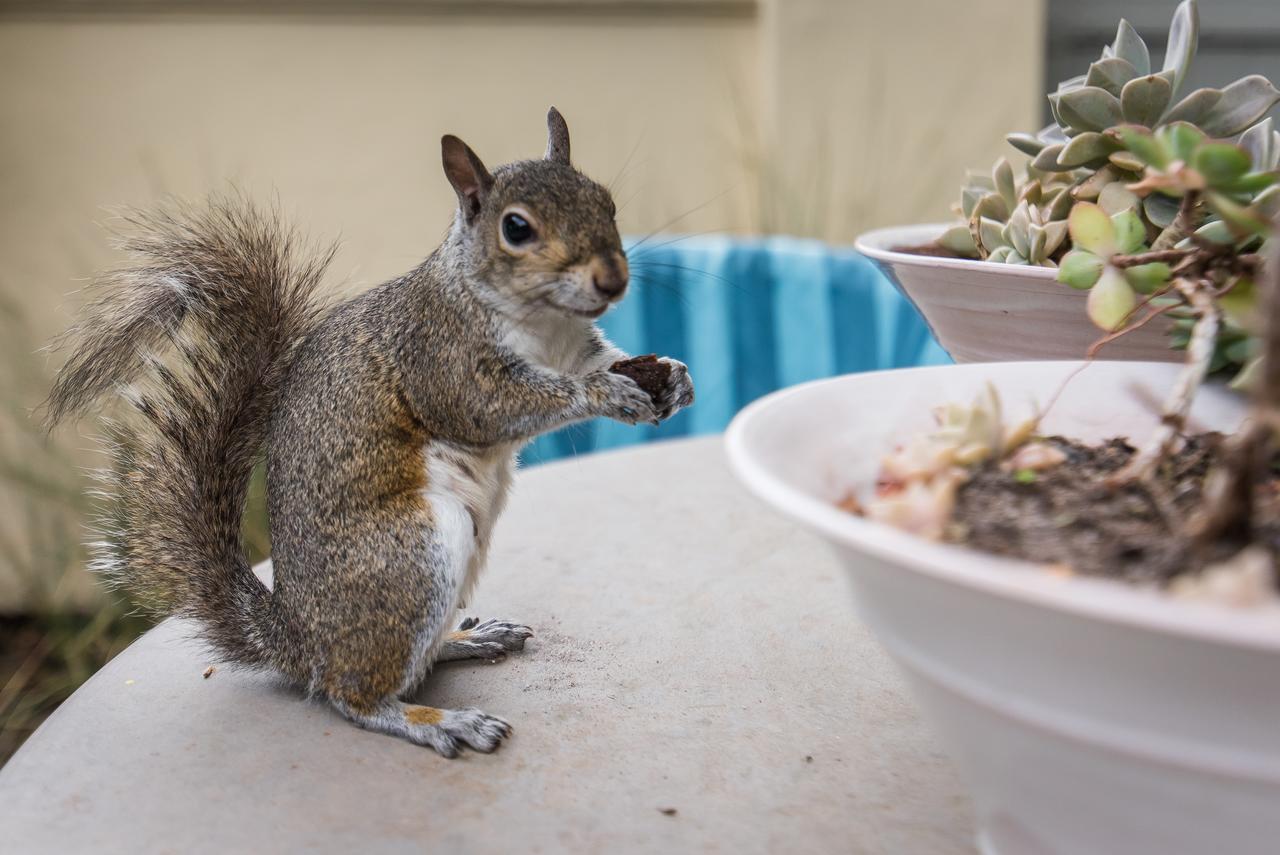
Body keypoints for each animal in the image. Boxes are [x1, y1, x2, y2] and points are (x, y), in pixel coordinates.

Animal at [47, 106, 691, 752]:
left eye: (606, 201)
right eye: (516, 228)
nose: (612, 280)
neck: (543, 321)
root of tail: (296, 641)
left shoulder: (575, 349)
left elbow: (606, 360)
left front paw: (675, 379)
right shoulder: (442, 360)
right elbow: (492, 406)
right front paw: (608, 394)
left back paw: (469, 638)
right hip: (414, 556)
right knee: (351, 695)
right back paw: (439, 721)